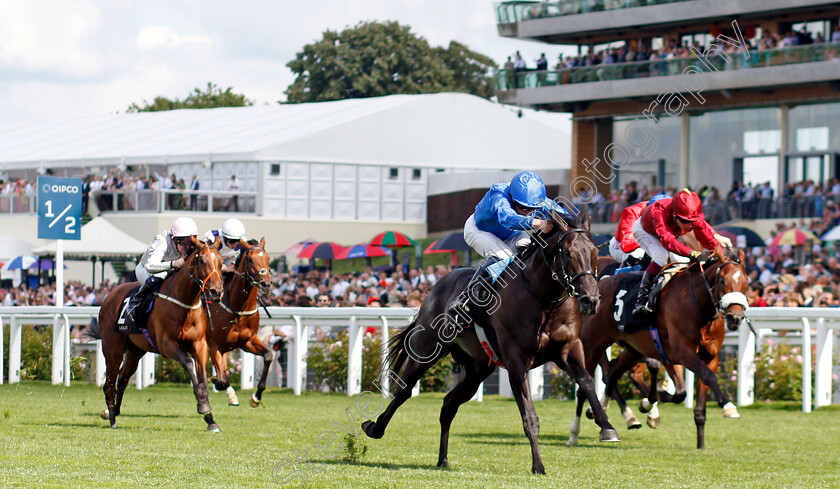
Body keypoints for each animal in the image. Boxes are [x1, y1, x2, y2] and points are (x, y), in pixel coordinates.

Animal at [97, 236, 226, 430]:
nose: (216, 292)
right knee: (110, 384)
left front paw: (210, 418)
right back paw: (112, 419)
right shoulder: (166, 344)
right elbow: (187, 362)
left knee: (123, 379)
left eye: (221, 262)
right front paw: (203, 406)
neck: (184, 302)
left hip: (136, 350)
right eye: (202, 261)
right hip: (113, 350)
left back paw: (115, 411)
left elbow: (202, 375)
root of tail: (109, 295)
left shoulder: (199, 344)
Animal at [204, 238, 272, 406]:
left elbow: (269, 356)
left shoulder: (247, 341)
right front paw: (216, 382)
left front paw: (256, 396)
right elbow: (222, 379)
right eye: (250, 259)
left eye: (268, 259)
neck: (238, 309)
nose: (266, 283)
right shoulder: (214, 345)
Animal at [358, 214, 620, 472]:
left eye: (595, 252)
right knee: (404, 391)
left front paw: (607, 427)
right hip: (427, 350)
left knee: (448, 405)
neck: (542, 298)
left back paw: (443, 460)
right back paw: (375, 428)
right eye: (567, 253)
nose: (590, 300)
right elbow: (529, 416)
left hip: (477, 369)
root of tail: (436, 288)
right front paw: (538, 465)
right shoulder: (516, 361)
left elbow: (586, 382)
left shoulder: (569, 348)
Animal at [572, 246, 748, 448]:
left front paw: (701, 444)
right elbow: (705, 377)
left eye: (746, 282)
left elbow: (694, 393)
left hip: (632, 349)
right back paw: (576, 433)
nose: (735, 318)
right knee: (584, 385)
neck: (699, 305)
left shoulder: (707, 357)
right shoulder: (682, 352)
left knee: (612, 375)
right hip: (593, 347)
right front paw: (728, 405)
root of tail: (598, 286)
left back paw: (618, 414)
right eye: (722, 280)